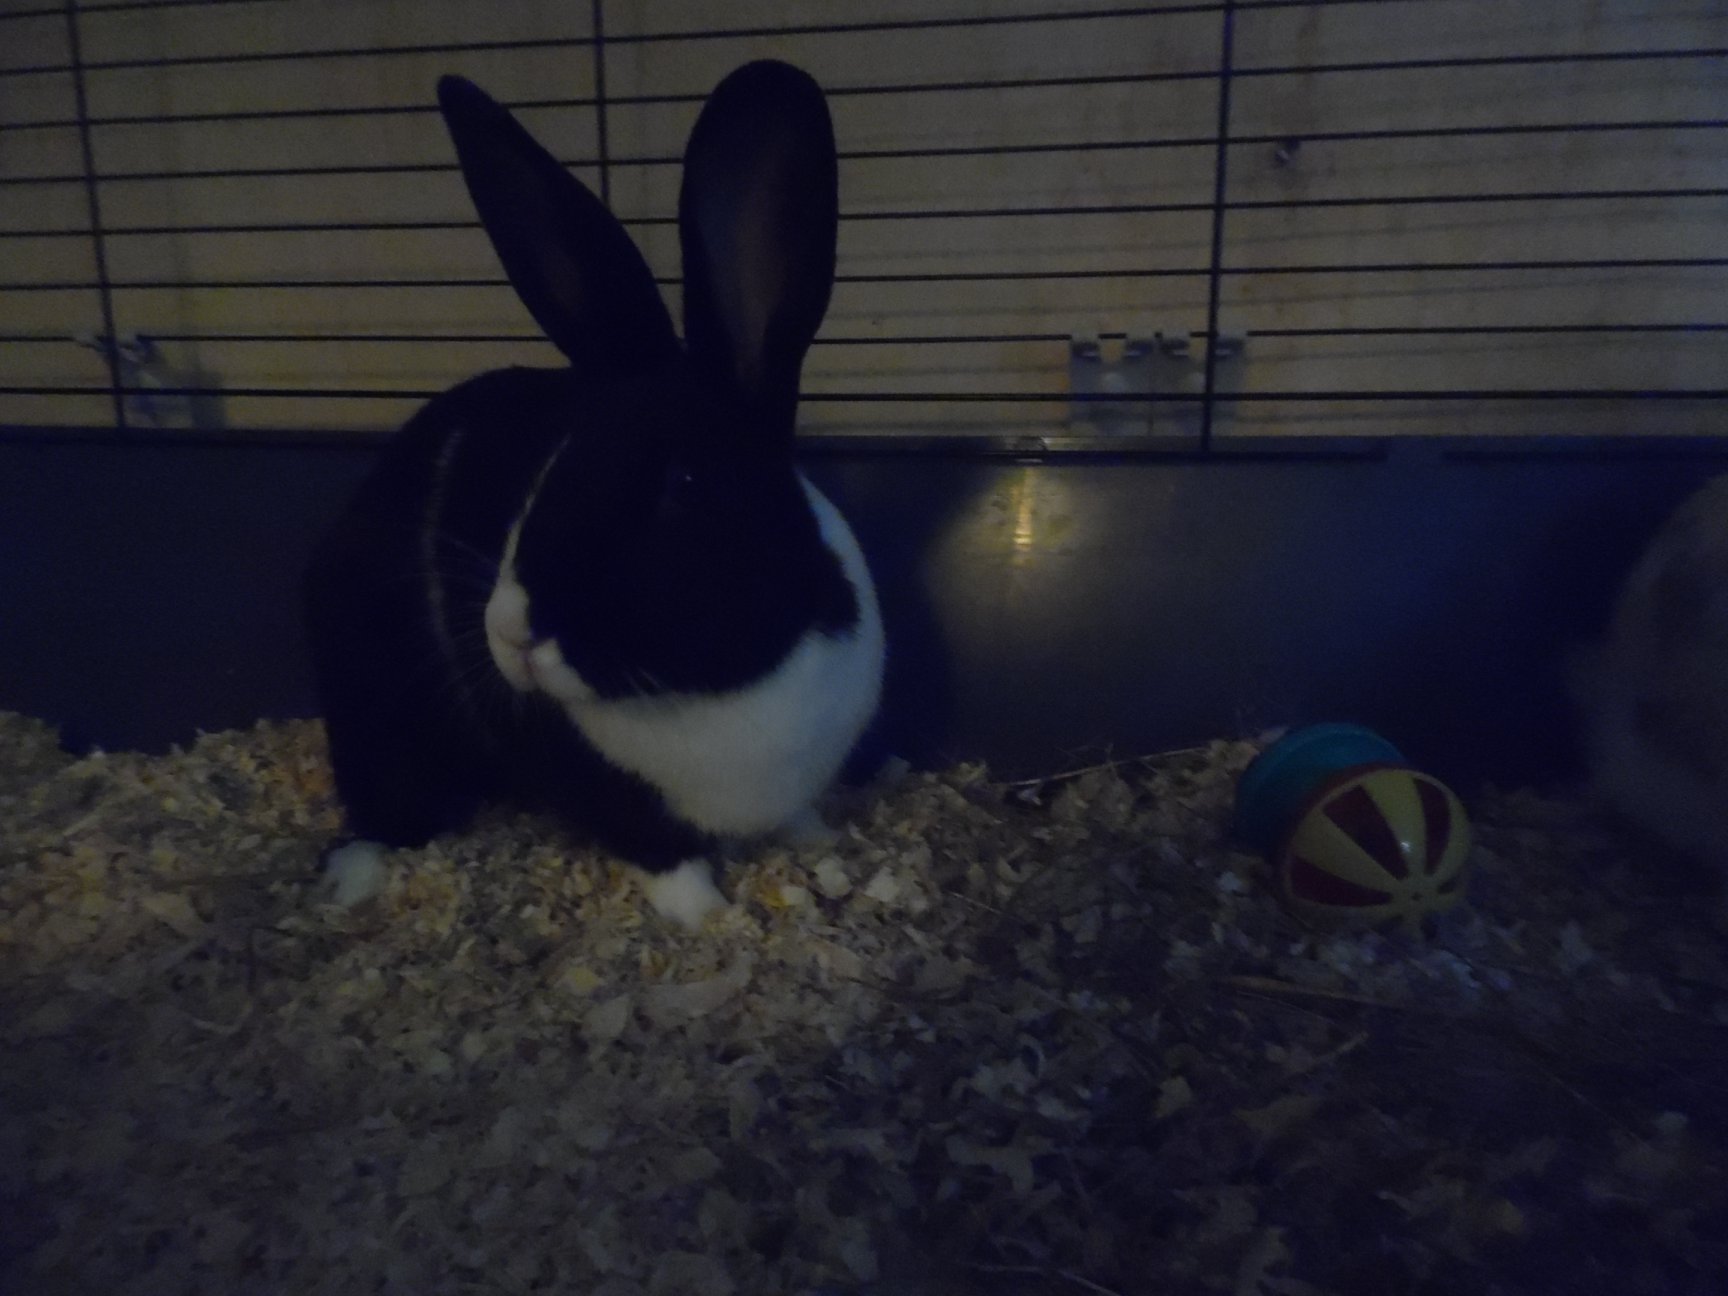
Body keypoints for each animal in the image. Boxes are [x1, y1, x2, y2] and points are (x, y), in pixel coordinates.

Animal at [303, 61, 884, 926]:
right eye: (550, 469)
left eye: (683, 483)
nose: (511, 633)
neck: (726, 688)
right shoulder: (621, 804)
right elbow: (666, 856)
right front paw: (707, 918)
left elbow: (797, 816)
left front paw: (821, 846)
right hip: (382, 719)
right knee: (380, 808)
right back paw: (353, 882)